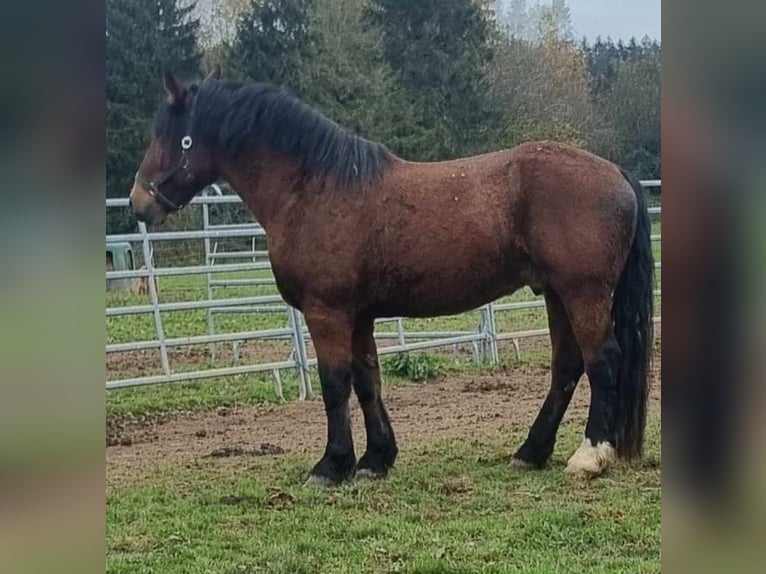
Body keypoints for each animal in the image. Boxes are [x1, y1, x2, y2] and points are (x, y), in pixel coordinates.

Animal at [127, 68, 656, 486]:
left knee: (602, 360)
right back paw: (531, 452)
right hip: (556, 294)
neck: (315, 188)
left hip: (583, 293)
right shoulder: (357, 315)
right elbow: (368, 380)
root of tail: (616, 172)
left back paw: (590, 456)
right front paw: (375, 459)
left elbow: (335, 383)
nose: (138, 202)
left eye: (174, 137)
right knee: (567, 365)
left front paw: (331, 465)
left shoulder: (327, 312)